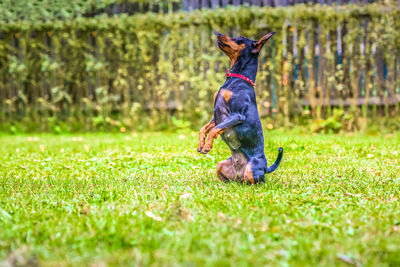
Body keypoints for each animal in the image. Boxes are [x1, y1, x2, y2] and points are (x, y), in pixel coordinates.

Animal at [198, 31, 284, 185]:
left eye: (239, 39)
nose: (218, 33)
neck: (237, 78)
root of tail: (266, 168)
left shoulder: (237, 115)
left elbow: (214, 130)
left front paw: (207, 145)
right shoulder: (216, 117)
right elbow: (204, 128)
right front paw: (201, 143)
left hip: (252, 170)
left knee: (259, 182)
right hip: (221, 166)